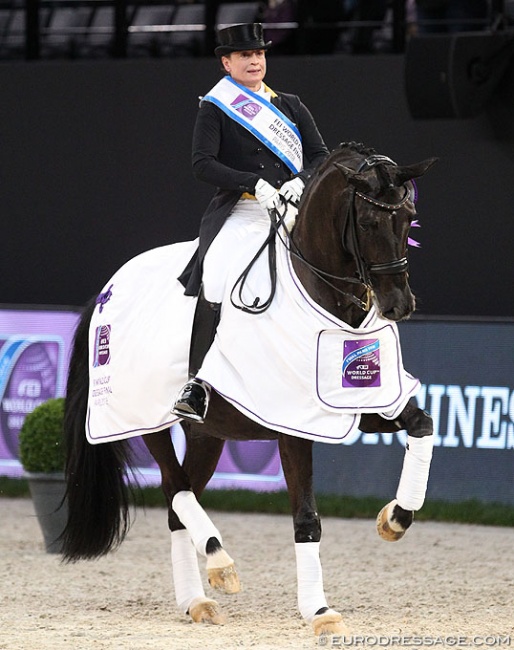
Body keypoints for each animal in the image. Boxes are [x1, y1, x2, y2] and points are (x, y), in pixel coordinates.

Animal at [60, 140, 436, 632]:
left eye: (409, 217)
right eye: (369, 222)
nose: (398, 305)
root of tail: (106, 291)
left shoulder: (368, 405)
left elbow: (423, 426)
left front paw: (395, 518)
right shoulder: (292, 425)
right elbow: (307, 517)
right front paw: (319, 611)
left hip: (207, 434)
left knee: (177, 506)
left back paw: (196, 601)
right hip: (144, 416)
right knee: (174, 487)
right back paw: (219, 562)